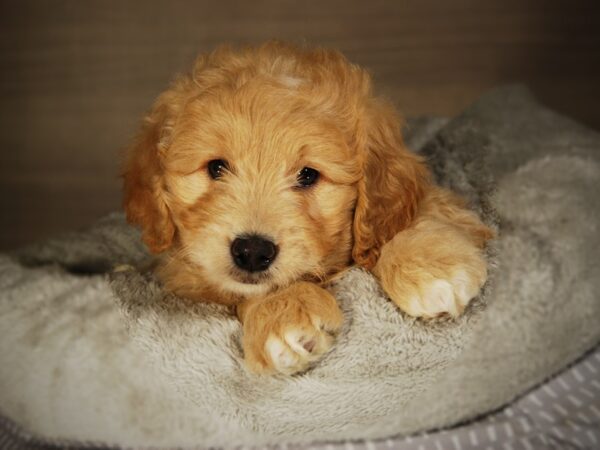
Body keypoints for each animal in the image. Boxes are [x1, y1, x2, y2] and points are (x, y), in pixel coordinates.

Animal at [122, 42, 492, 374]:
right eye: (216, 168)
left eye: (308, 175)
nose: (252, 252)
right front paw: (283, 311)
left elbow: (408, 215)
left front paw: (430, 266)